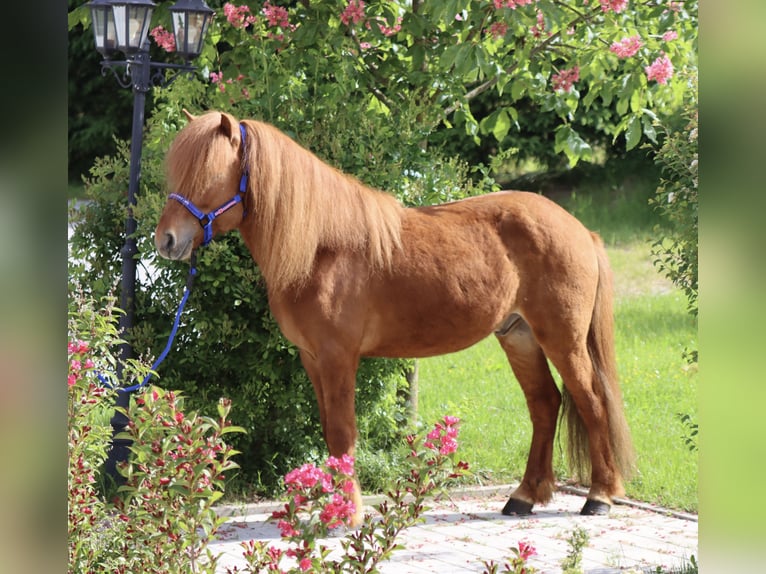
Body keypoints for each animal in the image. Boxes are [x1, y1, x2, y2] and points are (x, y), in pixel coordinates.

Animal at [154, 110, 636, 528]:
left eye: (208, 175)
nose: (166, 241)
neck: (320, 248)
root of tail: (580, 229)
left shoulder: (338, 356)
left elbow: (343, 432)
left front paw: (348, 513)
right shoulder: (312, 357)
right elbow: (329, 431)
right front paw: (334, 506)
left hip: (562, 339)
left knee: (592, 401)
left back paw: (599, 497)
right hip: (518, 336)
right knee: (545, 404)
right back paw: (524, 497)